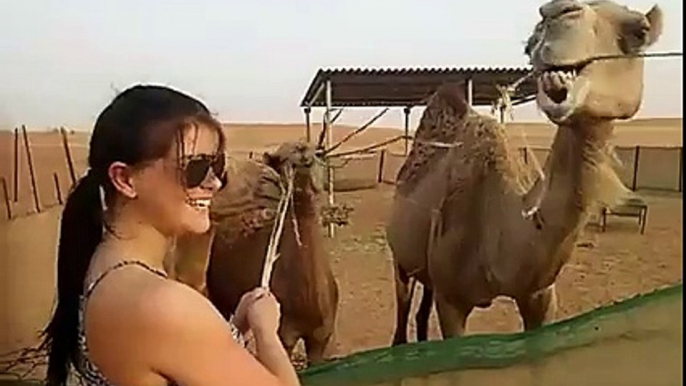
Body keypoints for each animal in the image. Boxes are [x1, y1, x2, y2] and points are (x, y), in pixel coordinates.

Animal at [388, 0, 660, 344]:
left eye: (640, 31)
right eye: (530, 45)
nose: (556, 13)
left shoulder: (540, 295)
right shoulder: (452, 301)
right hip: (399, 257)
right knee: (402, 306)